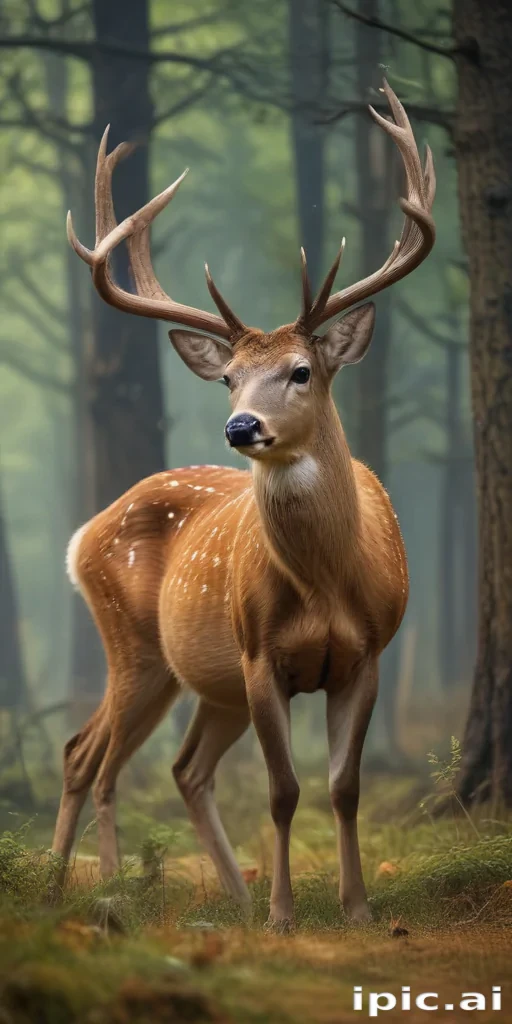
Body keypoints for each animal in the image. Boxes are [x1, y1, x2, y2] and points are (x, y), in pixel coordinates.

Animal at [51, 80, 435, 929]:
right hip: (137, 646)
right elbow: (285, 790)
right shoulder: (262, 656)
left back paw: (226, 893)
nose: (241, 426)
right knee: (85, 753)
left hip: (201, 677)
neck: (327, 585)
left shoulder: (369, 653)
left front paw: (357, 909)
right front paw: (285, 915)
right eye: (229, 378)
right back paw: (79, 889)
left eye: (301, 371)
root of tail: (81, 535)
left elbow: (344, 787)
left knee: (182, 768)